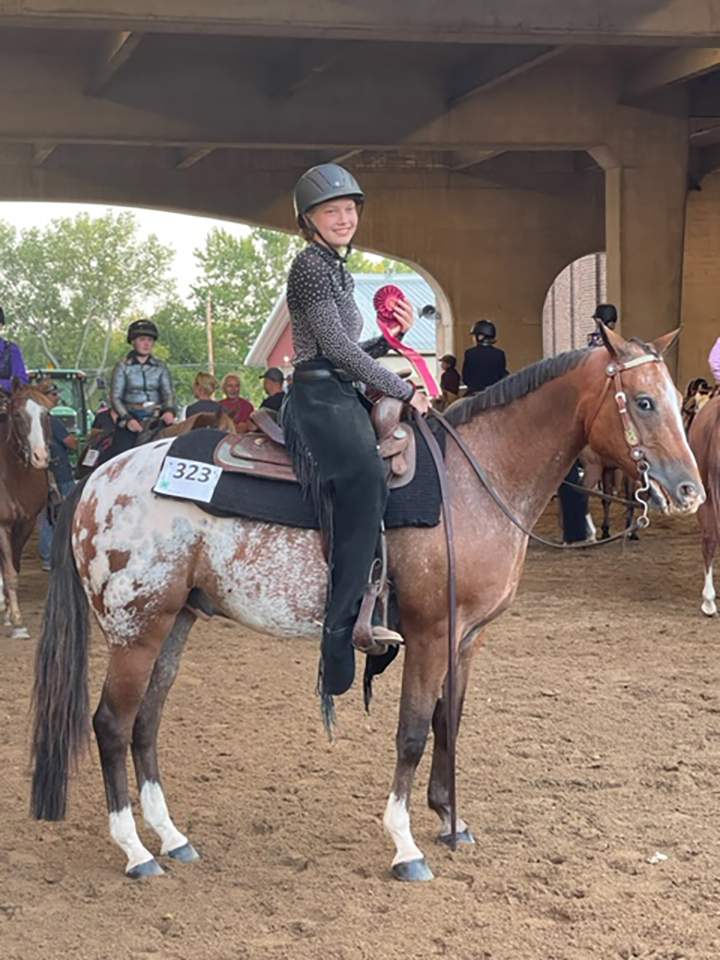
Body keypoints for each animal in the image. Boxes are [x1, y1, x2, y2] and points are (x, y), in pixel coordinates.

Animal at [31, 326, 700, 880]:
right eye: (643, 402)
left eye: (674, 398)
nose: (689, 490)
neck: (475, 480)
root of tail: (98, 480)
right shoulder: (430, 633)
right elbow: (412, 731)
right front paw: (406, 845)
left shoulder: (467, 638)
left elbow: (449, 722)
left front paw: (451, 821)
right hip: (135, 629)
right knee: (111, 724)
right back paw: (136, 852)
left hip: (174, 623)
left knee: (145, 723)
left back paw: (172, 838)